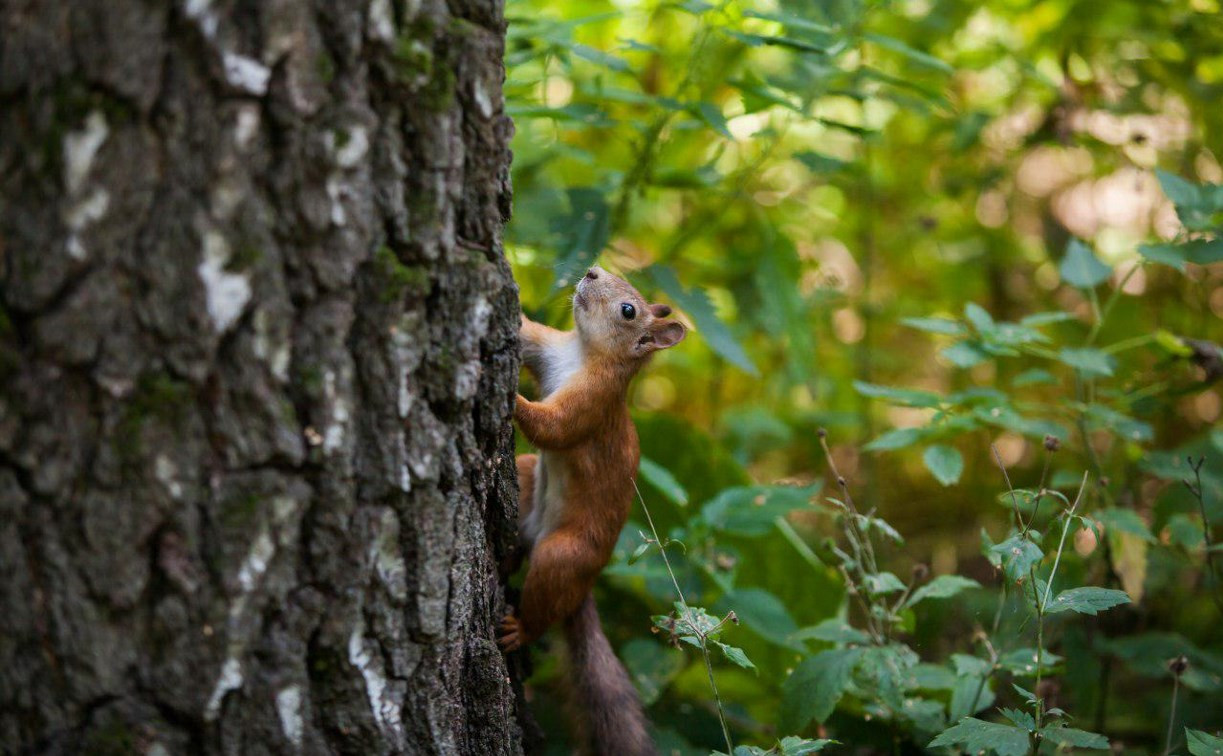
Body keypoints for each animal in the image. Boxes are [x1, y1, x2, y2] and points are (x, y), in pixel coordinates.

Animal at [498, 265, 689, 753]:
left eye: (628, 310)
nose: (591, 271)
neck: (582, 352)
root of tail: (584, 587)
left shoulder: (593, 404)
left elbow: (555, 427)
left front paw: (513, 399)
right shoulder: (550, 349)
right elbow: (527, 332)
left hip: (563, 555)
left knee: (544, 601)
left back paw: (520, 628)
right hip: (527, 482)